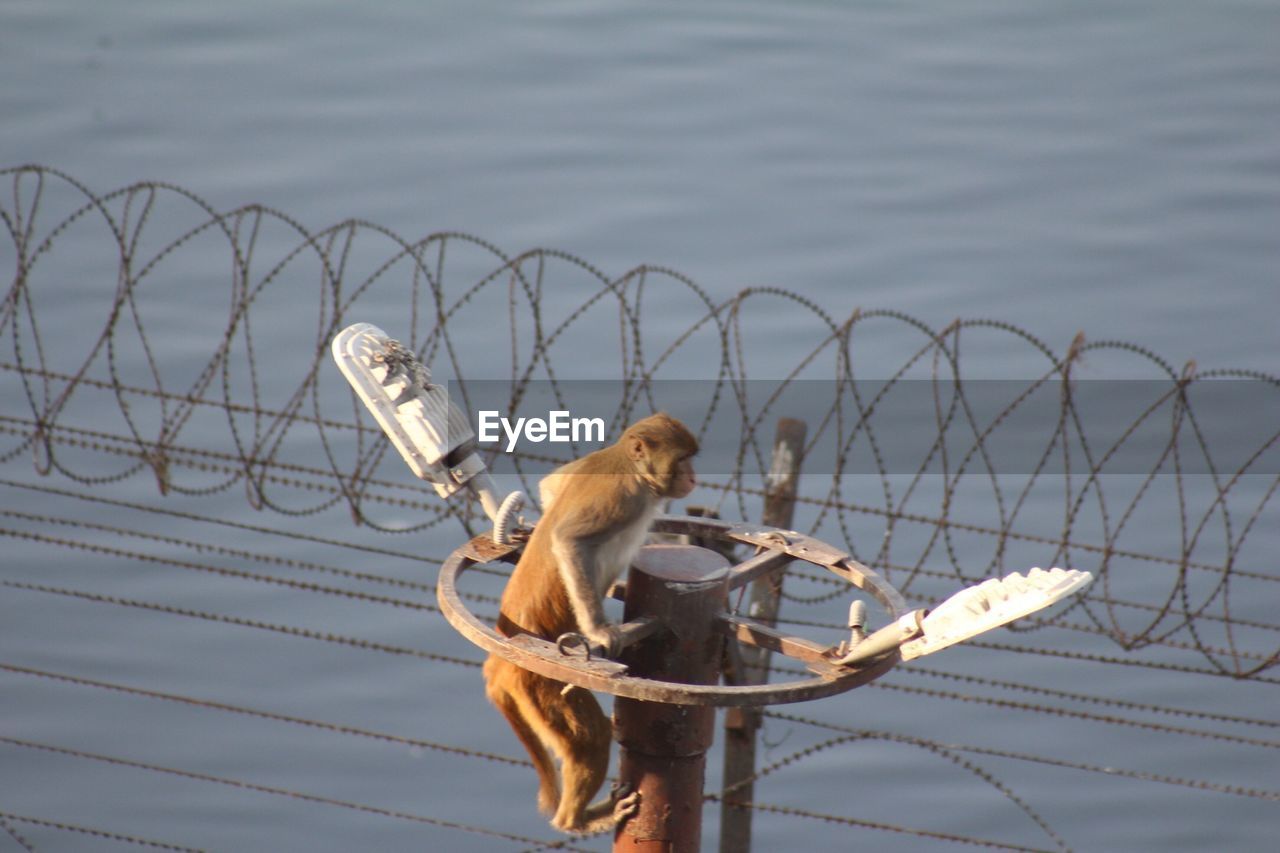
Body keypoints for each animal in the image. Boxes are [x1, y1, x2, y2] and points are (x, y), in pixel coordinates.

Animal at [481, 412, 701, 829]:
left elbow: (551, 484)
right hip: (542, 684)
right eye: (682, 460)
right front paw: (600, 630)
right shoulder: (621, 498)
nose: (694, 478)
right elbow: (570, 542)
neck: (631, 466)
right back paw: (578, 820)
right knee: (592, 735)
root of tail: (500, 659)